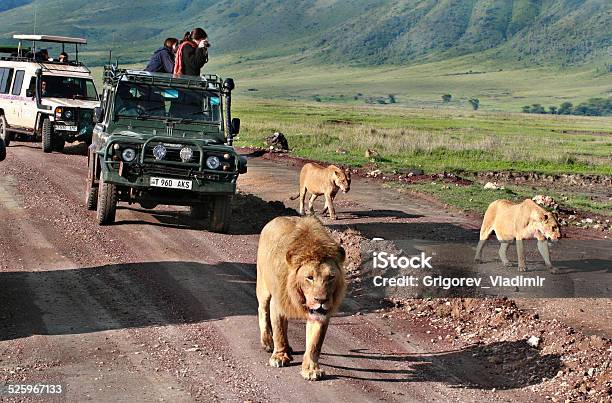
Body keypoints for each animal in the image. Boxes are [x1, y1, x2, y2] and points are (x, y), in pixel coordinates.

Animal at [256, 216, 346, 380]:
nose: (321, 300)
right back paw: (267, 343)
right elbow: (278, 331)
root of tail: (274, 219)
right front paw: (279, 357)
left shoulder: (321, 314)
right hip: (263, 286)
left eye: (331, 277)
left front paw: (311, 369)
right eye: (309, 277)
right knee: (263, 310)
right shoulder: (278, 302)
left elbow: (315, 343)